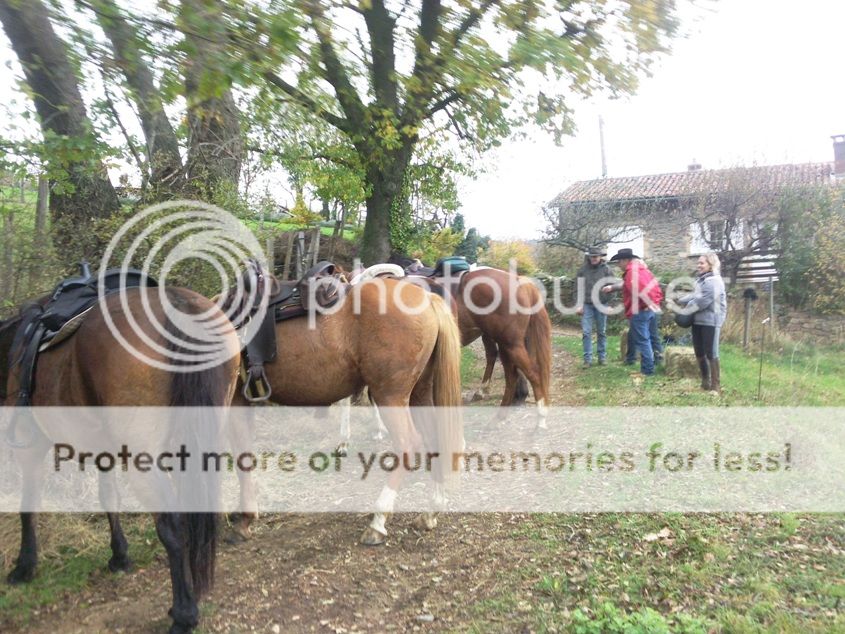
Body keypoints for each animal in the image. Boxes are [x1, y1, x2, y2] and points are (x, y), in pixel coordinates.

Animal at [3, 288, 241, 632]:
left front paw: (25, 566)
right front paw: (119, 556)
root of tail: (177, 301)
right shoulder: (105, 451)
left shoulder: (30, 446)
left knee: (172, 525)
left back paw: (184, 613)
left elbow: (28, 506)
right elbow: (109, 497)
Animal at [229, 274, 462, 544]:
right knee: (434, 439)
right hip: (418, 393)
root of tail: (428, 298)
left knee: (407, 444)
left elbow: (240, 456)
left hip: (391, 396)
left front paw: (244, 518)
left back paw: (378, 521)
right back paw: (431, 511)